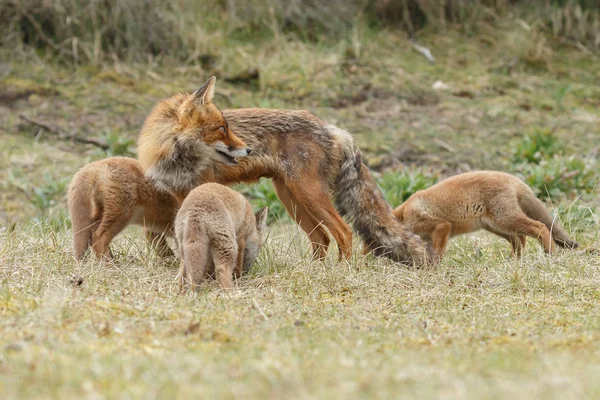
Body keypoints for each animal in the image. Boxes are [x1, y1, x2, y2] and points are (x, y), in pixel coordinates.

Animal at [392, 170, 580, 260]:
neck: (405, 213)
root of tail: (514, 179)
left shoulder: (441, 226)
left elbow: (437, 253)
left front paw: (434, 267)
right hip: (497, 227)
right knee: (520, 240)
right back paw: (513, 261)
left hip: (505, 220)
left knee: (540, 227)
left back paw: (550, 253)